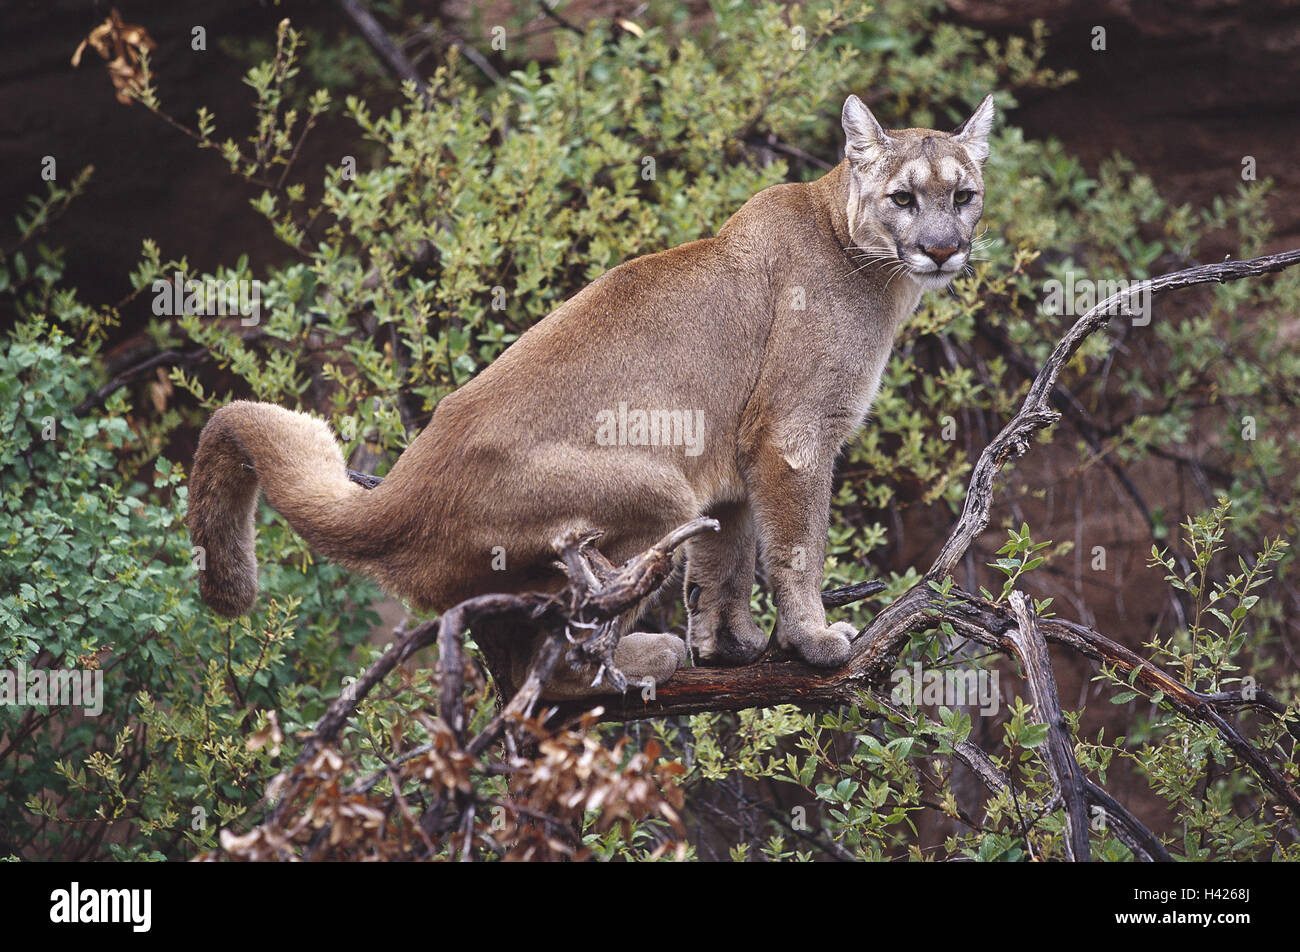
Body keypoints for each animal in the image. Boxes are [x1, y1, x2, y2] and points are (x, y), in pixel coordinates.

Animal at [185, 92, 993, 697]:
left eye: (963, 196)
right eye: (903, 198)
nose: (944, 248)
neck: (864, 261)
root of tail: (400, 495)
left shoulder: (734, 458)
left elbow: (726, 561)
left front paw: (729, 645)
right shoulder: (792, 437)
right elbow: (796, 549)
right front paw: (813, 640)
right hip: (655, 492)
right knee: (545, 663)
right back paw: (638, 659)